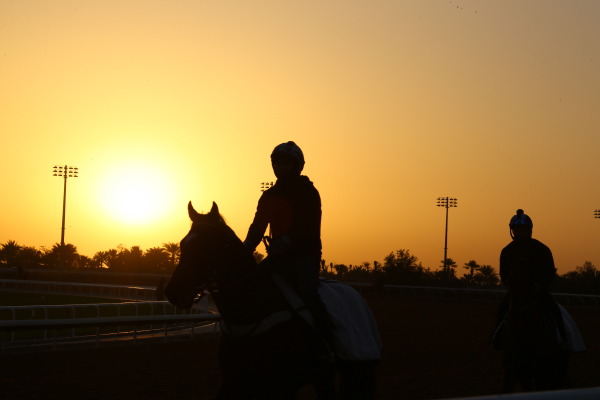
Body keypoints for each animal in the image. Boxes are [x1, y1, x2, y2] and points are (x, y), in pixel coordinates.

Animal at [165, 203, 380, 400]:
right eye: (183, 244)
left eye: (209, 246)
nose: (174, 292)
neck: (254, 311)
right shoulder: (233, 382)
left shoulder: (282, 388)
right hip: (324, 376)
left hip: (358, 369)